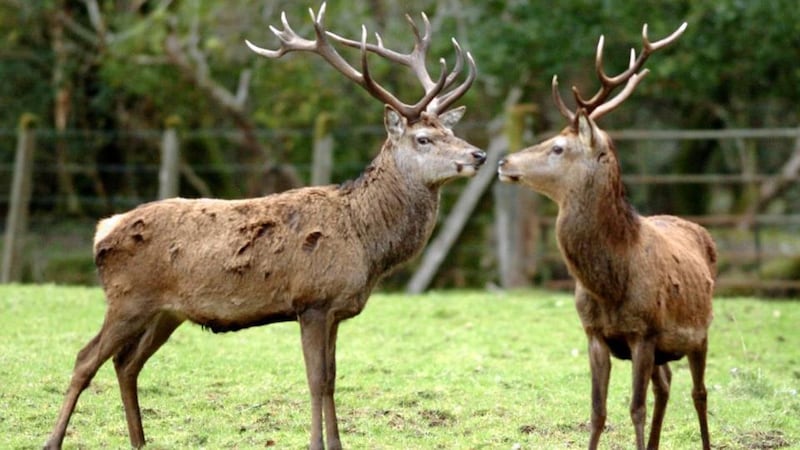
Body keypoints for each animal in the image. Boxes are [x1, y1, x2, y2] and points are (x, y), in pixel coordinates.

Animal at [43, 4, 484, 450]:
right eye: (424, 138)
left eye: (451, 130)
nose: (479, 155)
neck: (366, 242)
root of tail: (104, 230)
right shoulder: (312, 301)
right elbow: (316, 381)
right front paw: (315, 444)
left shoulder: (336, 310)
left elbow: (333, 379)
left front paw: (337, 444)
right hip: (128, 298)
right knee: (85, 358)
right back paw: (54, 440)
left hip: (165, 311)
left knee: (126, 363)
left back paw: (139, 441)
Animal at [496, 23, 716, 450]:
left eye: (558, 147)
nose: (503, 161)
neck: (610, 282)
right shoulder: (594, 334)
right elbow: (597, 412)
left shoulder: (644, 333)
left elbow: (635, 409)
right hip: (665, 351)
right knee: (666, 384)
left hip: (699, 332)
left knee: (699, 392)